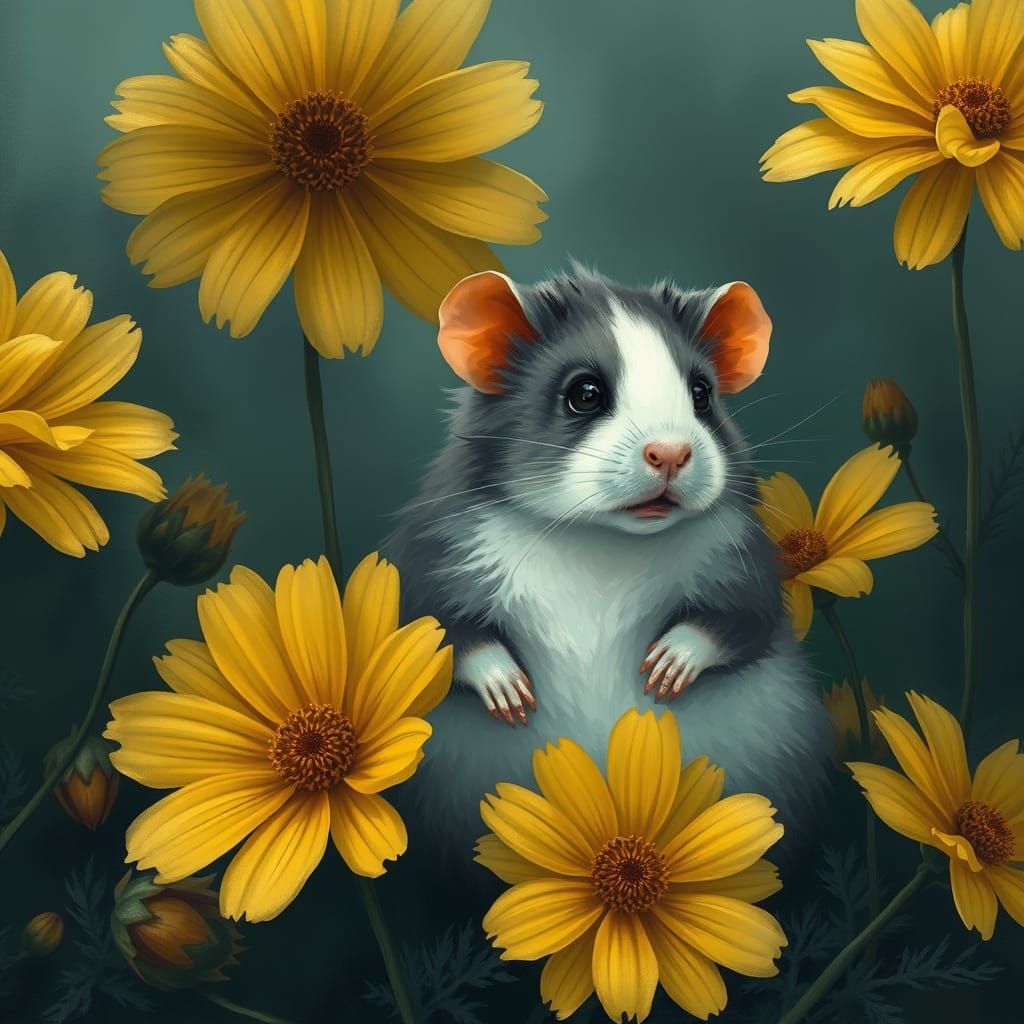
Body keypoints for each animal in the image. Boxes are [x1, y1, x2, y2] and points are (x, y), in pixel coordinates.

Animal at [386, 265, 830, 857]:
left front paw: (667, 667)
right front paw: (509, 690)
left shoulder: (745, 567)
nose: (671, 453)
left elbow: (743, 622)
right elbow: (439, 632)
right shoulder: (436, 557)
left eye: (702, 393)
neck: (603, 543)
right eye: (585, 394)